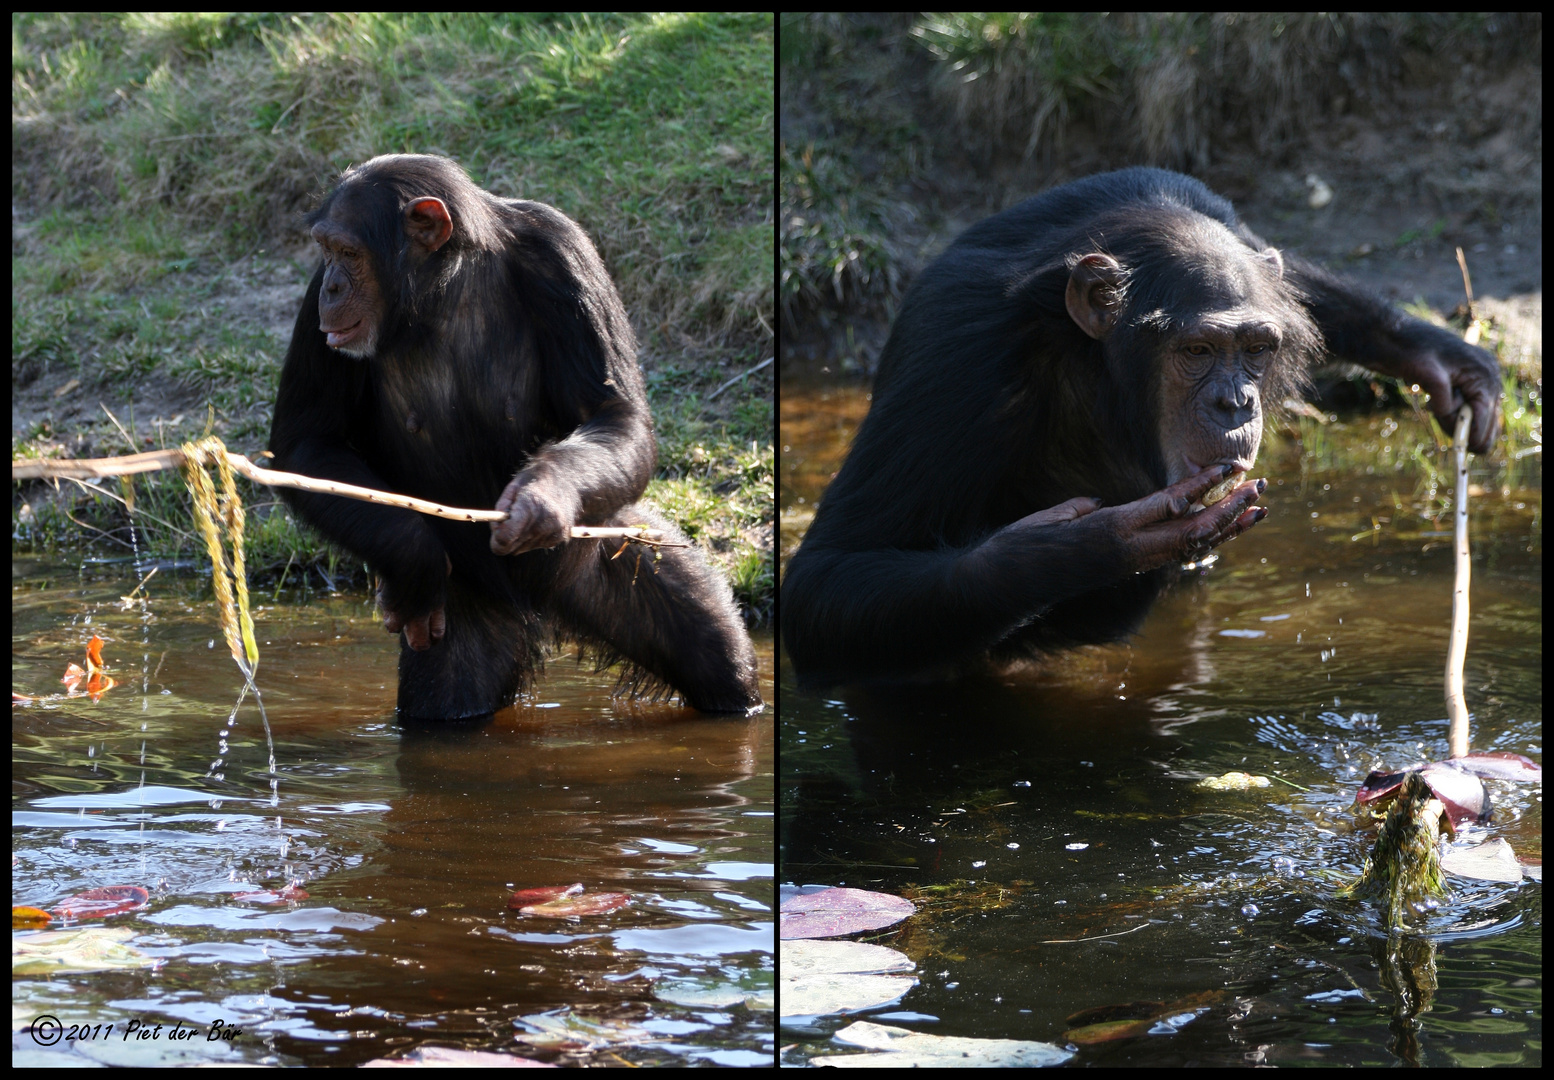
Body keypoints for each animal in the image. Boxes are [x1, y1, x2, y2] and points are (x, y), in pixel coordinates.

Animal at [275, 152, 770, 721]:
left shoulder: (563, 253)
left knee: (714, 650)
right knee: (444, 701)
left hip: (605, 552)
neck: (442, 288)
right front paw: (410, 555)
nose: (333, 287)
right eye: (328, 252)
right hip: (466, 619)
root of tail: (540, 615)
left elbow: (613, 412)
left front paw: (540, 499)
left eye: (350, 253)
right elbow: (307, 441)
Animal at [789, 170, 1504, 693]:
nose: (1234, 403)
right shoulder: (957, 363)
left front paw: (1436, 354)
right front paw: (1087, 546)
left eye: (1255, 349)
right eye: (1197, 351)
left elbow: (1285, 273)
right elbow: (832, 571)